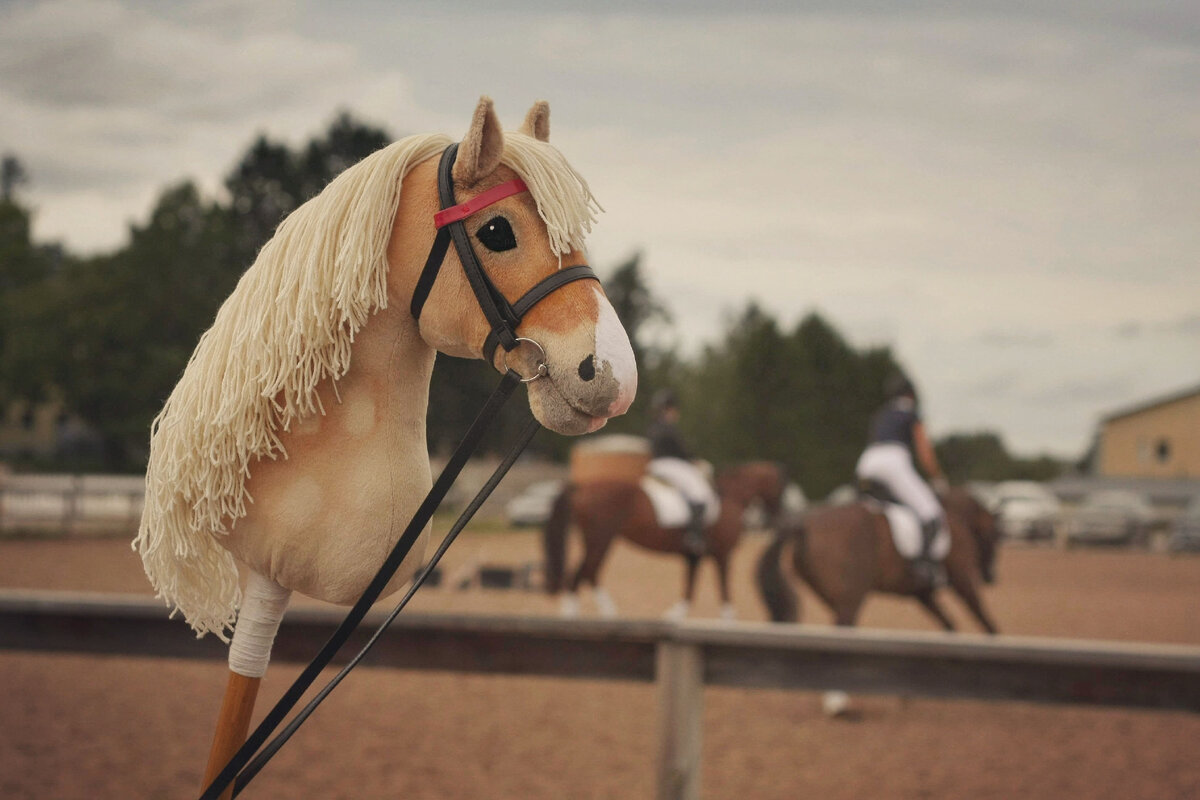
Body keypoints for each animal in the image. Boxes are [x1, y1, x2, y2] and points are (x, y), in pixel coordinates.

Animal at [544, 462, 787, 618]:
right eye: (780, 489)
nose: (777, 518)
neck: (731, 498)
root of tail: (581, 486)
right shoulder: (723, 555)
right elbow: (725, 591)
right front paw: (728, 623)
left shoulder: (694, 556)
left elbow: (689, 589)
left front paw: (674, 616)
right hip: (600, 540)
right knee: (583, 575)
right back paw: (600, 615)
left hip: (599, 541)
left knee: (585, 575)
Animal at [758, 484, 1003, 633]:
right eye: (993, 535)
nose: (991, 576)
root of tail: (803, 525)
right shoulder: (963, 581)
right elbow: (985, 621)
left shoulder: (923, 595)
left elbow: (950, 625)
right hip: (851, 599)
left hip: (837, 599)